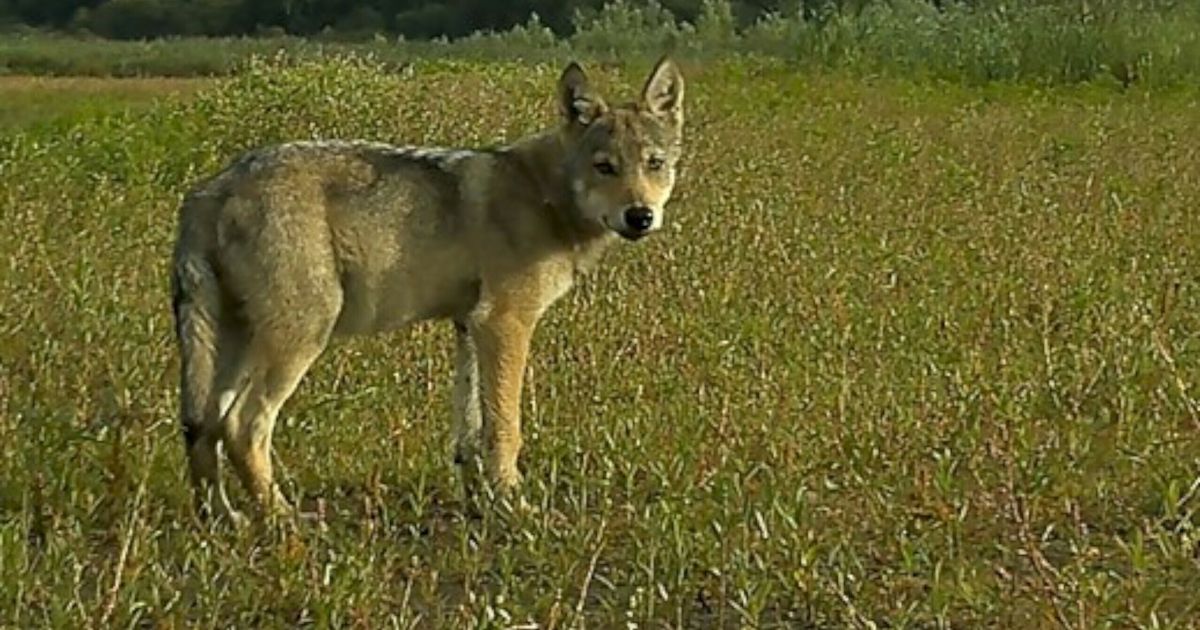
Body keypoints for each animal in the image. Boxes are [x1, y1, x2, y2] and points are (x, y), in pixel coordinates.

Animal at [170, 58, 685, 523]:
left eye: (654, 164)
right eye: (605, 167)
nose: (640, 216)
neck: (545, 195)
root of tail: (209, 191)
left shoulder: (470, 325)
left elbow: (471, 433)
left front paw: (480, 505)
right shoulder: (505, 323)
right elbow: (506, 428)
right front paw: (516, 507)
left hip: (232, 350)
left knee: (203, 426)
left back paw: (221, 521)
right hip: (300, 338)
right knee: (242, 426)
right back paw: (283, 519)